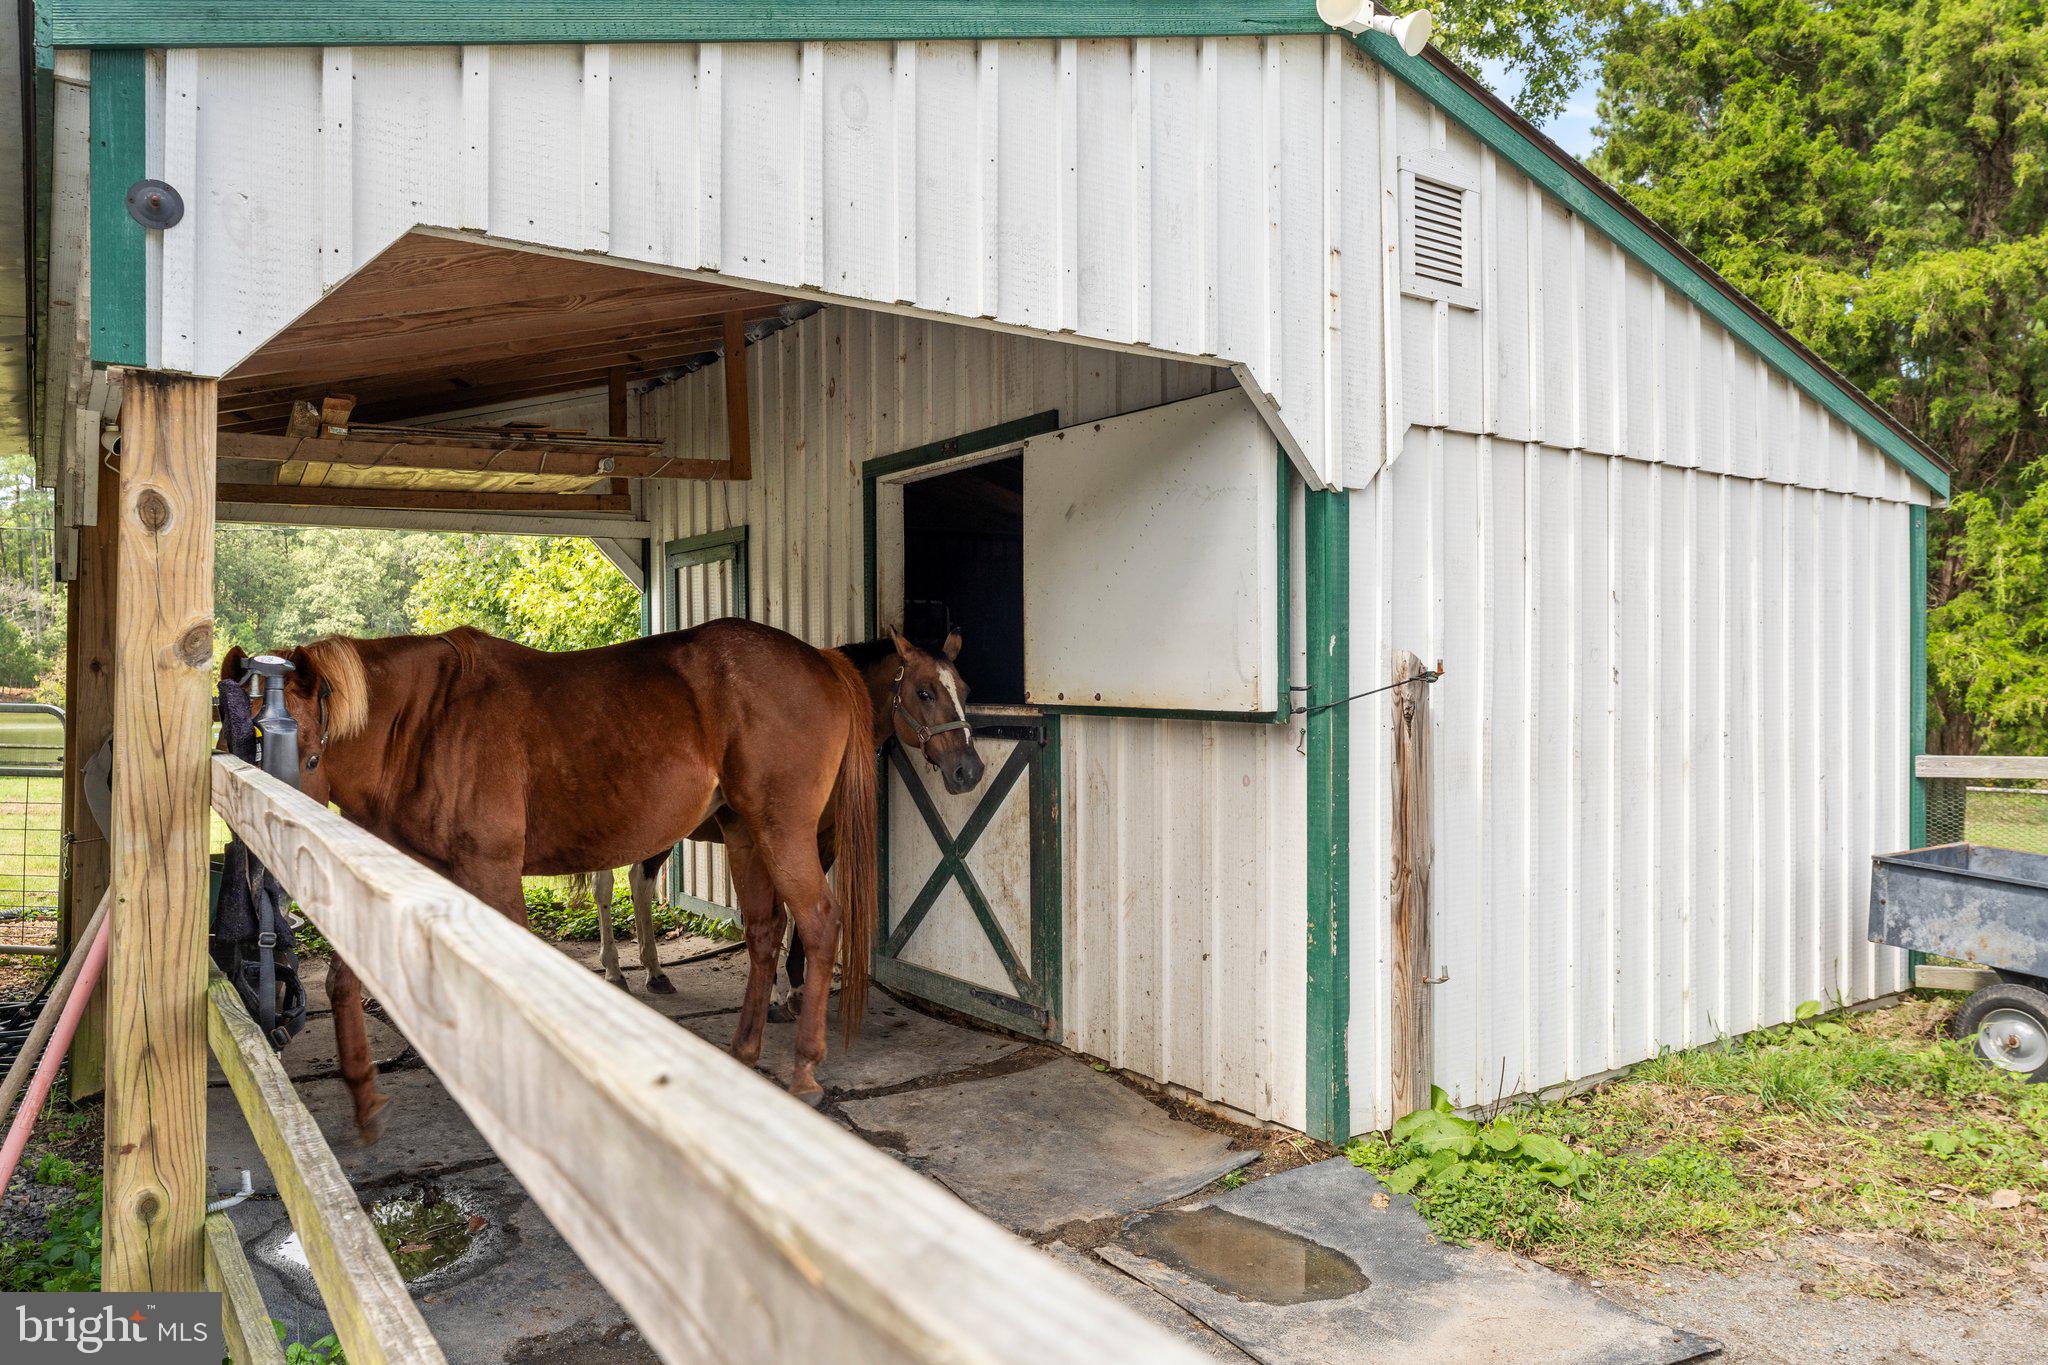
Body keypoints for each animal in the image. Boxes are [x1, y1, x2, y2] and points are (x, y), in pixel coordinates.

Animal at [222, 617, 884, 1137]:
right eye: (233, 740)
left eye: (305, 753)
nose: (264, 861)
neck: (424, 726)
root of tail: (822, 661)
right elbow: (344, 978)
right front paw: (363, 1096)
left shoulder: (489, 870)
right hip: (745, 833)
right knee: (765, 931)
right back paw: (745, 1053)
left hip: (783, 831)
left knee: (819, 925)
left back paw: (804, 1070)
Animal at [588, 630, 984, 1018]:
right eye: (925, 692)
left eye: (966, 691)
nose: (969, 771)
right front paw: (776, 994)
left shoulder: (823, 840)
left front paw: (796, 988)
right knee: (605, 888)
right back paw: (613, 970)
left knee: (639, 882)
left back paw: (655, 972)